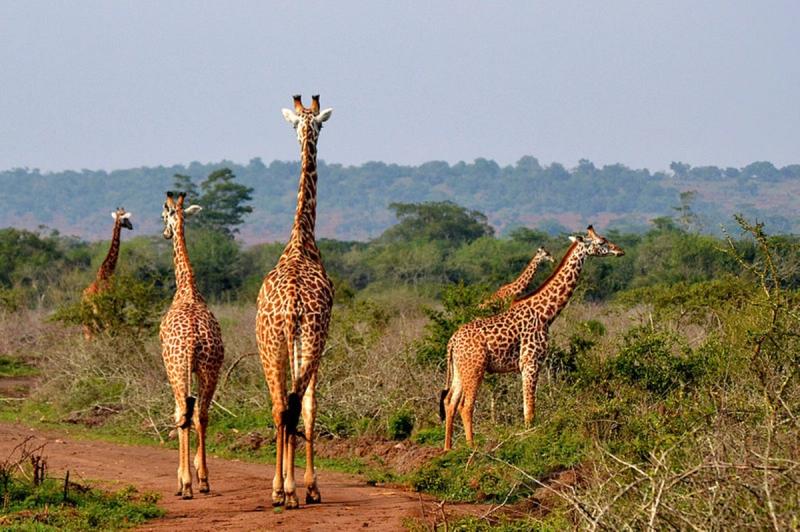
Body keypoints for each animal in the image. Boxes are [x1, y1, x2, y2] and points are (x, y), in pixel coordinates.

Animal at [81, 207, 133, 339]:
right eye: (126, 218)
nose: (131, 226)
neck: (106, 271)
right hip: (100, 313)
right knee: (104, 331)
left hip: (88, 317)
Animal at [440, 226, 624, 450]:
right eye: (601, 242)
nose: (620, 251)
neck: (546, 314)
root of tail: (452, 342)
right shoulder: (530, 362)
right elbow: (530, 411)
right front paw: (530, 441)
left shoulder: (529, 364)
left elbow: (527, 408)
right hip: (475, 368)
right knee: (465, 406)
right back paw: (471, 447)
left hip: (460, 369)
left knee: (450, 402)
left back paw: (448, 448)